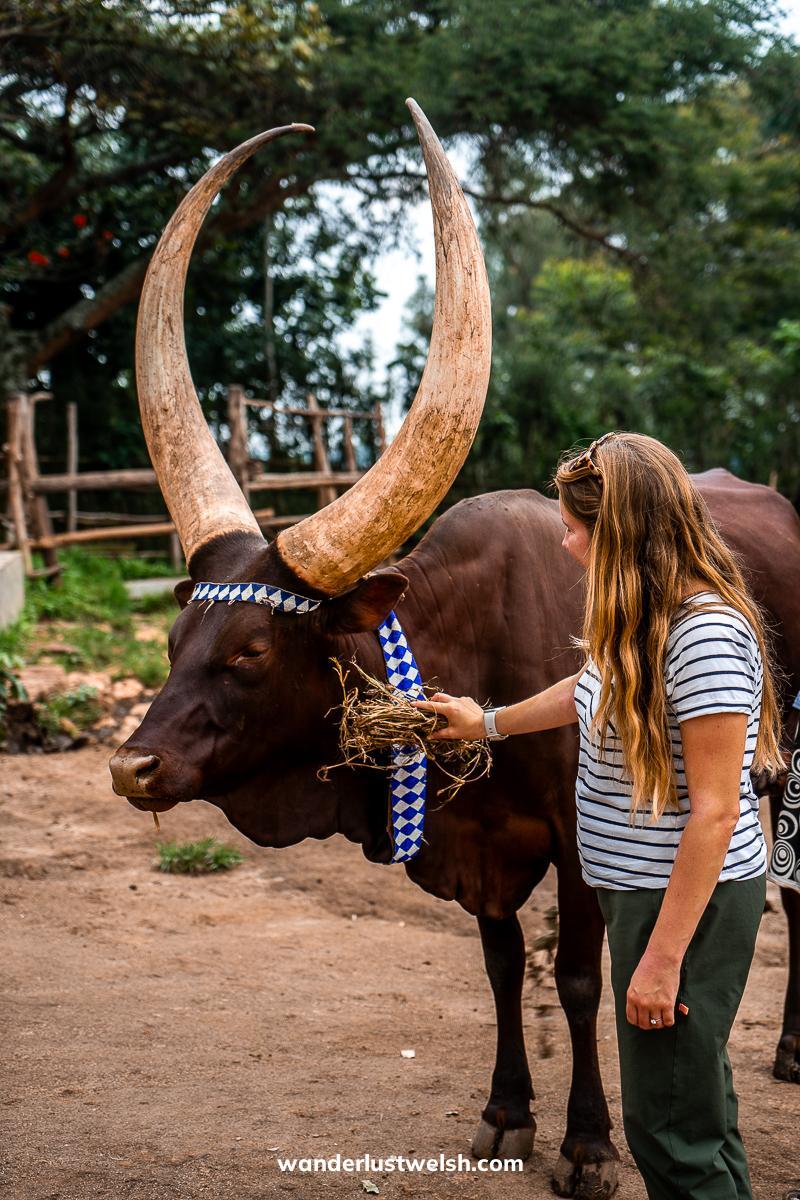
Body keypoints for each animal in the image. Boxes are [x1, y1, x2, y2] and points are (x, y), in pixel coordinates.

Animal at [109, 101, 800, 1200]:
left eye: (251, 651)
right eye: (177, 637)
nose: (132, 765)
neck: (476, 629)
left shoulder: (577, 836)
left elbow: (578, 976)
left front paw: (589, 1145)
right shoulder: (475, 839)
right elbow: (500, 962)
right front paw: (506, 1114)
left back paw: (787, 1049)